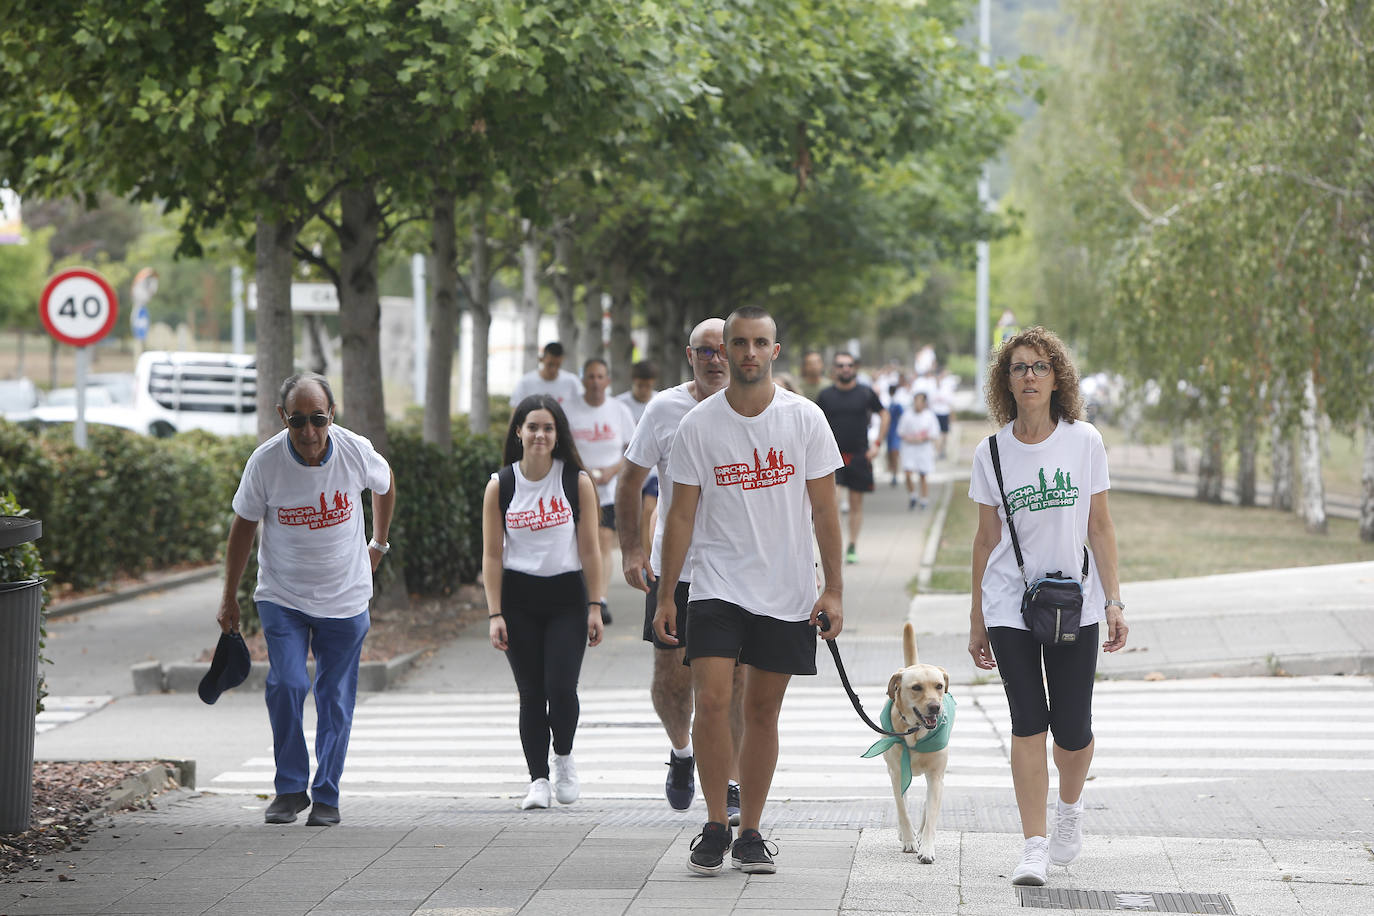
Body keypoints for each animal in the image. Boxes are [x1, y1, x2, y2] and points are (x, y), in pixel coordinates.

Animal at [862, 620, 950, 862]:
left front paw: (926, 848)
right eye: (916, 687)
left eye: (939, 686)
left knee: (927, 805)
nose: (935, 707)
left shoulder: (936, 775)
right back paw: (907, 833)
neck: (914, 732)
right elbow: (902, 807)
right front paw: (909, 840)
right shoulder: (896, 772)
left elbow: (931, 814)